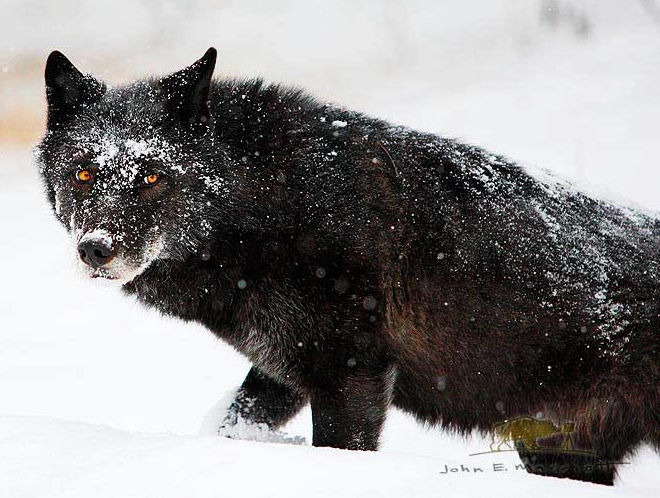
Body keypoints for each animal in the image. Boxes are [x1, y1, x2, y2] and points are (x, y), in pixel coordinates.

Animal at [37, 48, 660, 484]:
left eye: (152, 176)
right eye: (83, 174)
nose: (96, 248)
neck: (268, 206)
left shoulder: (352, 369)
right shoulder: (282, 366)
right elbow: (233, 423)